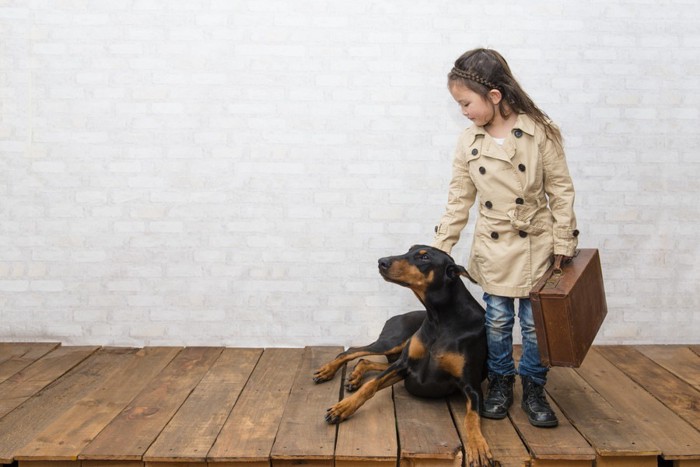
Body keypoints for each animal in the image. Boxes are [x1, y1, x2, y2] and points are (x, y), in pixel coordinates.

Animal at [314, 245, 494, 467]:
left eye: (424, 257)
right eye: (410, 249)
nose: (381, 261)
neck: (440, 318)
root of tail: (395, 317)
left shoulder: (471, 385)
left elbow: (471, 417)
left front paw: (478, 447)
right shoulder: (404, 365)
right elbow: (371, 385)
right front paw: (342, 408)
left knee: (364, 359)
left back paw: (354, 377)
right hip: (392, 343)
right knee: (351, 352)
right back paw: (327, 371)